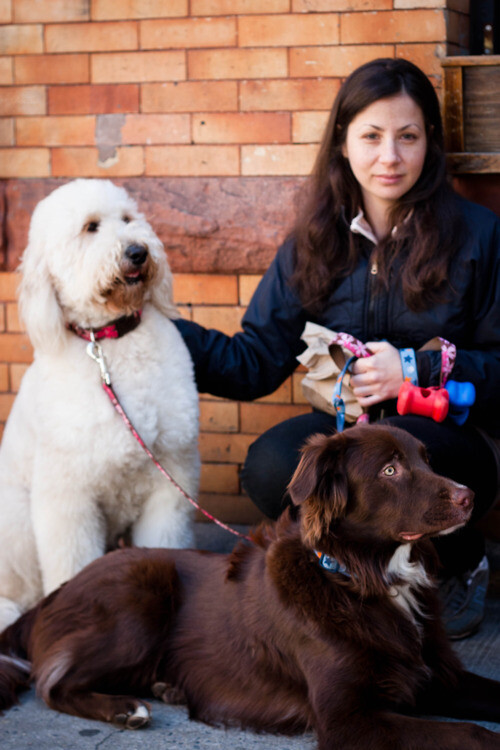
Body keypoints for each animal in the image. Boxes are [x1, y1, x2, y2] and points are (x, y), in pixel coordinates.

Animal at [0, 179, 199, 632]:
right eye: (90, 227)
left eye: (128, 219)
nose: (138, 251)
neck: (110, 341)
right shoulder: (67, 499)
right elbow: (71, 565)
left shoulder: (170, 481)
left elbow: (163, 540)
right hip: (15, 520)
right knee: (19, 590)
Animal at [0, 426, 500, 748]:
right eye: (391, 471)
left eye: (426, 460)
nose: (470, 496)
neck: (362, 577)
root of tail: (57, 591)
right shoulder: (348, 721)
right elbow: (471, 733)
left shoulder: (439, 676)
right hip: (140, 596)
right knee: (52, 683)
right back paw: (124, 708)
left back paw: (169, 688)